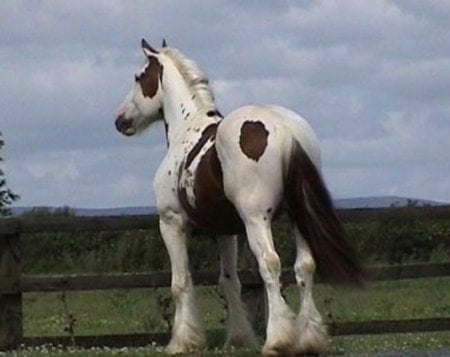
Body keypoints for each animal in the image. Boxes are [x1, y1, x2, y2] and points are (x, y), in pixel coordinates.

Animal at [115, 39, 362, 356]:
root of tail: (285, 130)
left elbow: (181, 283)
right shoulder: (225, 232)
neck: (187, 128)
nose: (121, 120)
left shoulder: (171, 222)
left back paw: (278, 340)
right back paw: (308, 340)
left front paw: (184, 342)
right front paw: (239, 338)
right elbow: (230, 282)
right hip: (298, 217)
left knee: (270, 264)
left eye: (139, 77)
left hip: (256, 220)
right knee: (304, 266)